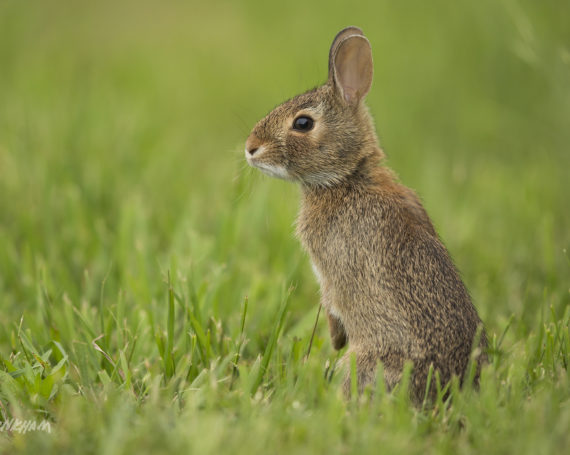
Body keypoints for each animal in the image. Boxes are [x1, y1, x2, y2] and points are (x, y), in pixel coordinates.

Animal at [242, 26, 486, 404]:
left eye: (303, 123)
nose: (250, 148)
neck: (347, 178)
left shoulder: (330, 268)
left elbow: (331, 300)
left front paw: (335, 339)